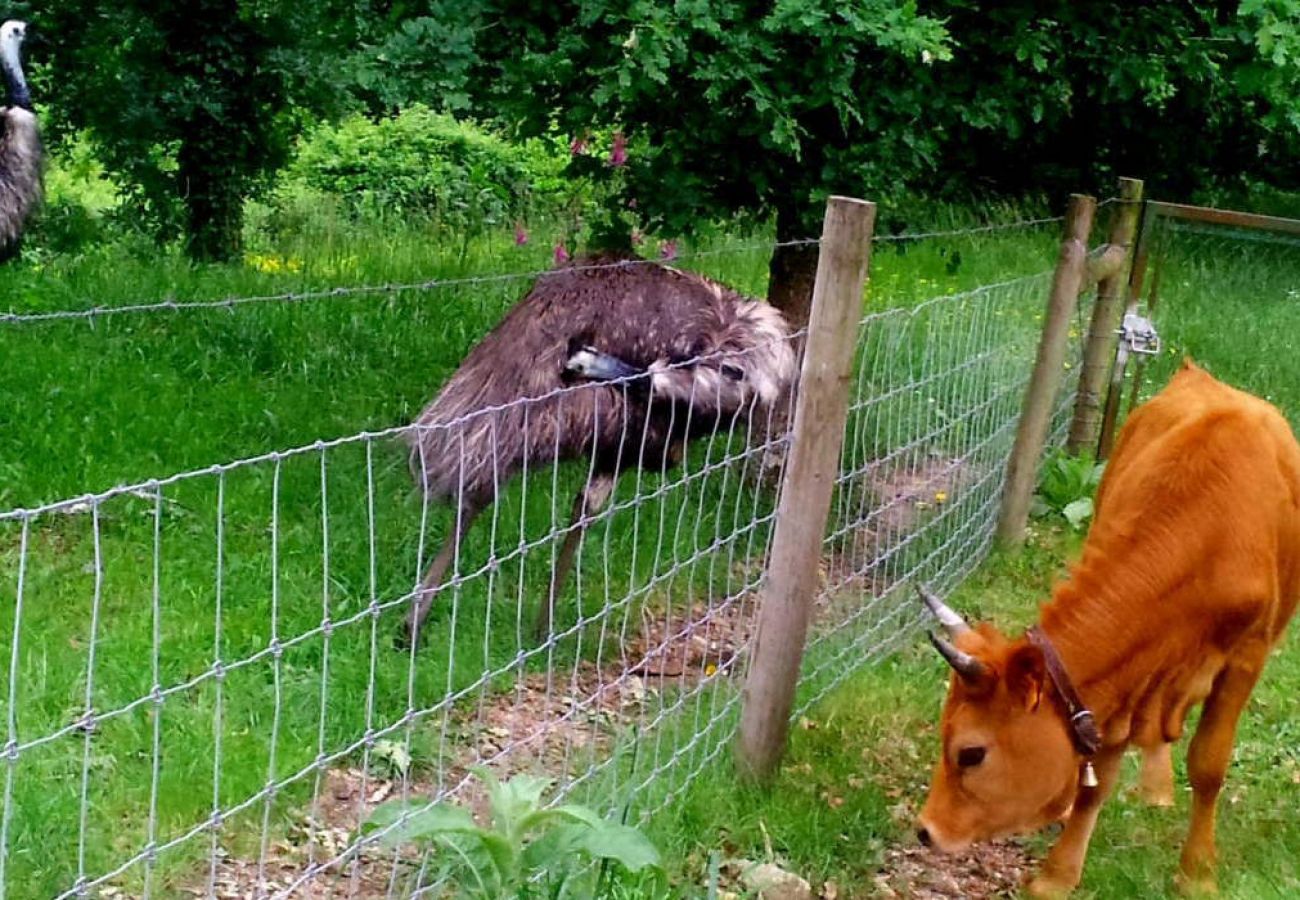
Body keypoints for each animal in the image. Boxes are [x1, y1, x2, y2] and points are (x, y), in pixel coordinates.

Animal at [915, 361, 1300, 894]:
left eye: (971, 753)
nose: (925, 830)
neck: (1209, 532)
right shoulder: (1129, 674)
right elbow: (1097, 779)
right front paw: (1056, 878)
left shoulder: (1248, 655)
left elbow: (1209, 765)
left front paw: (1198, 874)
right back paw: (1156, 784)